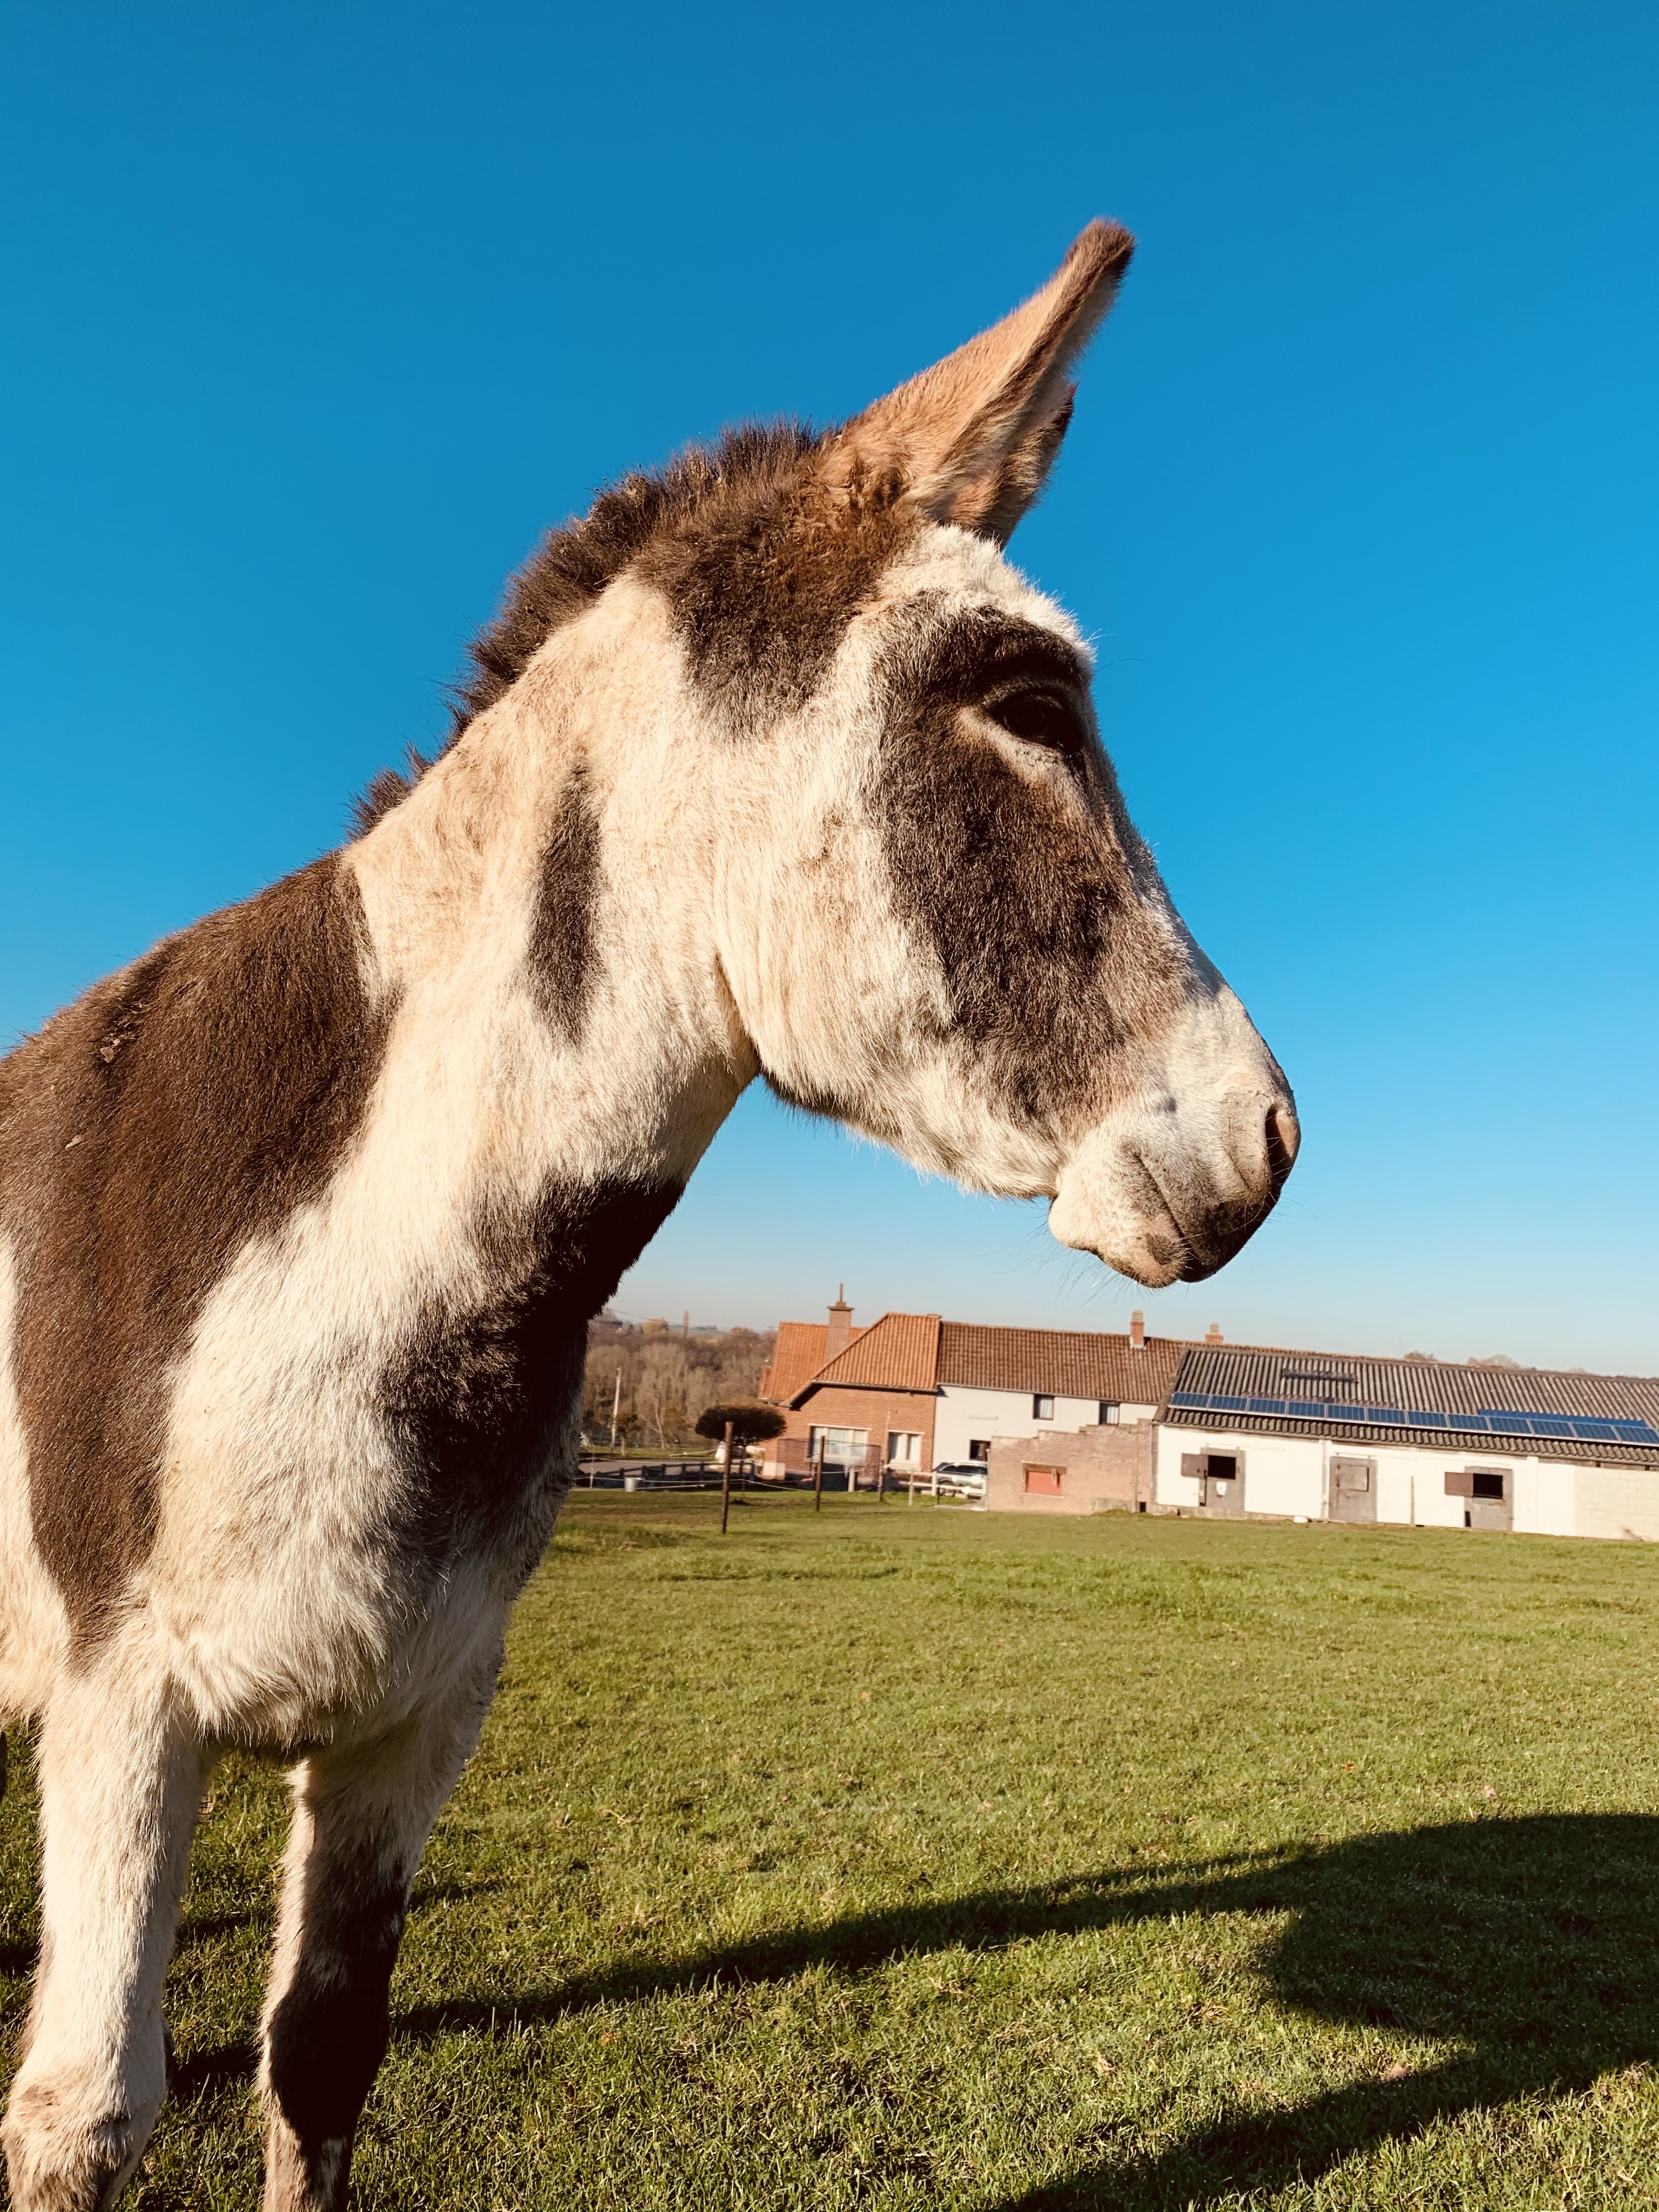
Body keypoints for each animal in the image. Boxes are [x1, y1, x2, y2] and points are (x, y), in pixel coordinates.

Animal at [0, 220, 1296, 2209]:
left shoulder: (413, 1713)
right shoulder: (121, 1708)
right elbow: (84, 2115)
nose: (1270, 1138)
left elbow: (321, 2058)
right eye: (1027, 702)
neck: (377, 1272)